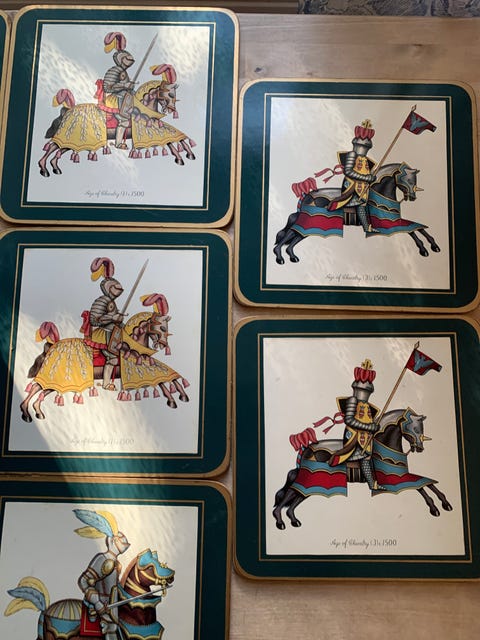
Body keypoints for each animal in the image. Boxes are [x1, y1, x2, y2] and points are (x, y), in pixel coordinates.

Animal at [20, 308, 190, 423]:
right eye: (162, 327)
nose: (162, 344)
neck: (131, 345)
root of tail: (52, 344)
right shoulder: (141, 367)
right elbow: (162, 380)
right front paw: (174, 397)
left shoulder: (148, 367)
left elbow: (166, 378)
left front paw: (180, 395)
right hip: (56, 379)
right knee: (36, 388)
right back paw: (26, 412)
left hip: (54, 382)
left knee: (39, 391)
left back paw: (35, 412)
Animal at [38, 74, 196, 177]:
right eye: (170, 94)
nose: (171, 109)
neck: (142, 109)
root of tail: (68, 109)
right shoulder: (150, 129)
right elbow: (171, 140)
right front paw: (182, 155)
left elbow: (173, 139)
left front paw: (187, 154)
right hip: (70, 138)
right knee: (52, 148)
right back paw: (43, 168)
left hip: (69, 142)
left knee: (55, 150)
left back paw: (53, 168)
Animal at [272, 408, 452, 530]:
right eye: (414, 428)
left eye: (421, 429)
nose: (420, 448)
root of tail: (306, 448)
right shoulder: (397, 478)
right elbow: (422, 485)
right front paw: (436, 506)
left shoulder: (402, 475)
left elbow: (427, 483)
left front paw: (444, 503)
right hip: (308, 480)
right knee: (288, 495)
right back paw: (279, 521)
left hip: (311, 486)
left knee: (294, 499)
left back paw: (293, 520)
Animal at [273, 163, 441, 264]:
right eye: (408, 180)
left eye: (415, 180)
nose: (412, 197)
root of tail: (306, 195)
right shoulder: (389, 224)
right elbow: (413, 229)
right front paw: (425, 248)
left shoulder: (395, 220)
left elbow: (418, 227)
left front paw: (433, 245)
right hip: (307, 223)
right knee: (288, 235)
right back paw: (279, 257)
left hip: (308, 228)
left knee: (293, 238)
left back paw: (291, 256)